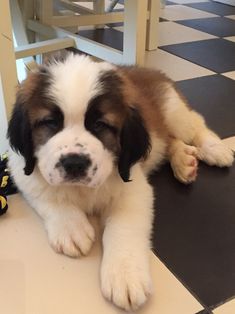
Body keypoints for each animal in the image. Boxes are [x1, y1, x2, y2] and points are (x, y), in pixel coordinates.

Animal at [6, 52, 233, 310]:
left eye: (100, 125)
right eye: (50, 123)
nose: (74, 163)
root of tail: (148, 70)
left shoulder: (134, 188)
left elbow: (122, 227)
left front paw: (125, 275)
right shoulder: (22, 169)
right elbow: (48, 193)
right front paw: (71, 227)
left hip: (174, 110)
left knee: (194, 124)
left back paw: (214, 148)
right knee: (169, 141)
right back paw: (184, 160)